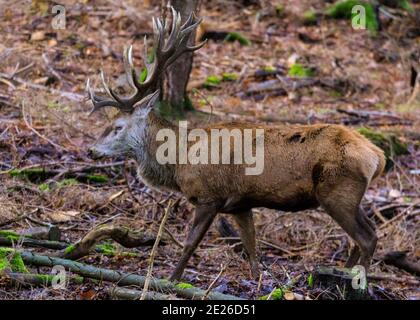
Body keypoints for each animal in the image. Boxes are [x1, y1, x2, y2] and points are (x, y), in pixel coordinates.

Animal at [87, 8, 386, 282]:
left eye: (117, 126)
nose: (90, 150)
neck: (180, 160)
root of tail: (378, 156)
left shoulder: (209, 196)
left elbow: (190, 243)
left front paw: (171, 279)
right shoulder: (240, 204)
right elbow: (251, 247)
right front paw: (257, 280)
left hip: (337, 192)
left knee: (368, 237)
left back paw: (359, 281)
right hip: (349, 195)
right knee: (365, 233)